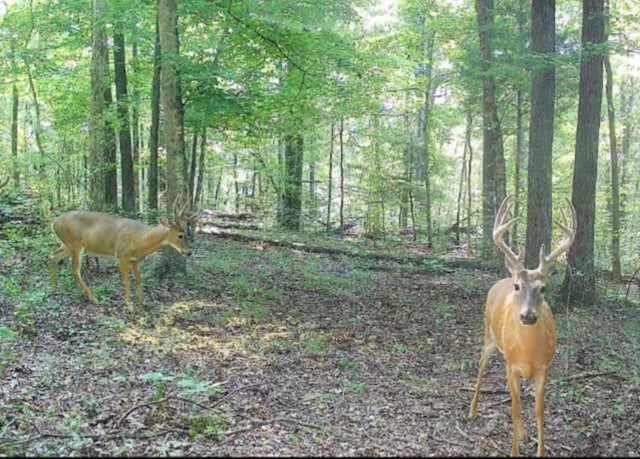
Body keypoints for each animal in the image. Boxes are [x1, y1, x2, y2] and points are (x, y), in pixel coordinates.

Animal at [49, 195, 198, 310]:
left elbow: (138, 279)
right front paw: (129, 304)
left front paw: (143, 302)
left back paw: (55, 289)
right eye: (180, 235)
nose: (189, 252)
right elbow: (127, 280)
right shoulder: (122, 255)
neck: (141, 240)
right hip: (75, 244)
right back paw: (94, 299)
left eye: (187, 233)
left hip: (67, 244)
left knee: (52, 257)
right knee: (75, 270)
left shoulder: (135, 260)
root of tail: (54, 222)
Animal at [470, 194, 576, 456]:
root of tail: (501, 279)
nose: (528, 316)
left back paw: (524, 433)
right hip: (489, 336)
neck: (528, 351)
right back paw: (473, 410)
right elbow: (515, 408)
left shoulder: (544, 368)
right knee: (480, 366)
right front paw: (514, 452)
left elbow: (539, 411)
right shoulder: (511, 366)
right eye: (518, 286)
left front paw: (540, 450)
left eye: (544, 288)